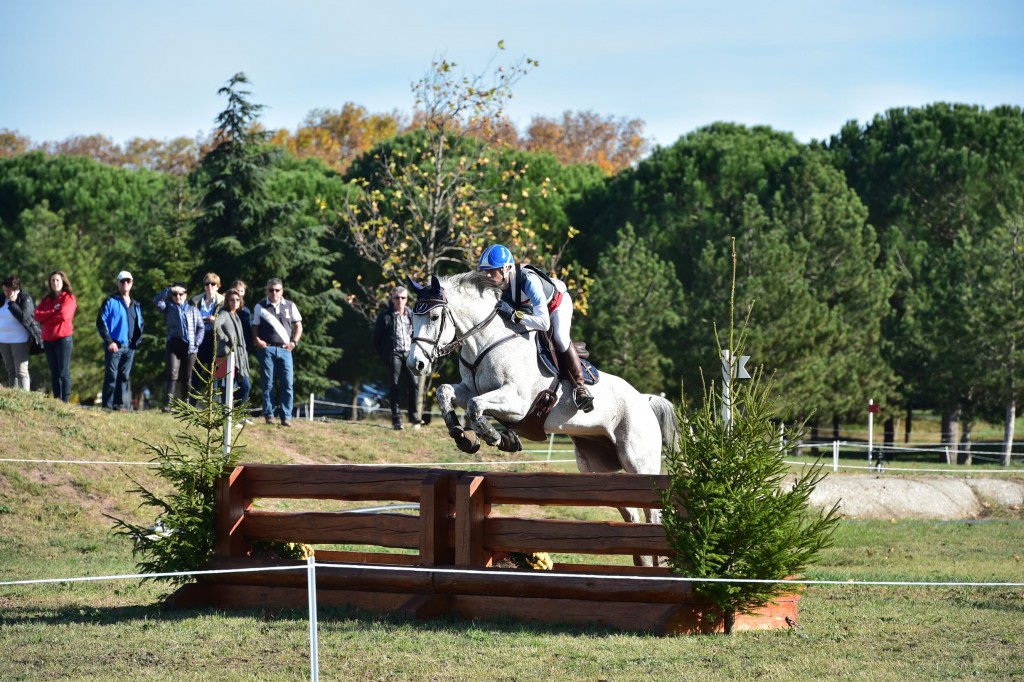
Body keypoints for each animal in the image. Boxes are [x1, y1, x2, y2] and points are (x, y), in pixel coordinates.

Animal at [407, 270, 679, 532]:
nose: (415, 364)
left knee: (652, 512)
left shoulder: (517, 403)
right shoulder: (468, 389)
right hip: (596, 465)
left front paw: (493, 436)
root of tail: (644, 400)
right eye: (412, 316)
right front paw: (463, 435)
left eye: (434, 317)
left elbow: (476, 405)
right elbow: (446, 392)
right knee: (630, 511)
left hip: (638, 460)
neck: (485, 341)